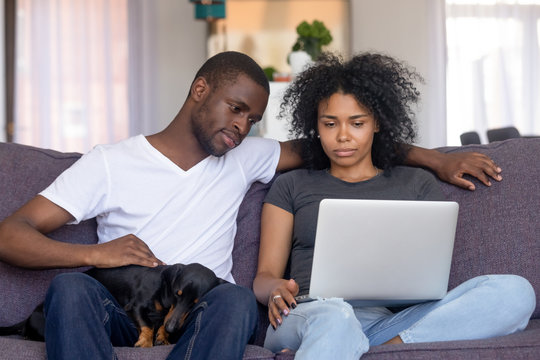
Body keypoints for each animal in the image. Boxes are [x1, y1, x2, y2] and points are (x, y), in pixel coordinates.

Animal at [0, 262, 226, 348]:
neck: (163, 286)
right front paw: (146, 342)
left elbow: (161, 322)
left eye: (194, 303)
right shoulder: (136, 306)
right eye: (177, 294)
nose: (172, 329)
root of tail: (28, 318)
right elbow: (147, 325)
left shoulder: (168, 315)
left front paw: (163, 336)